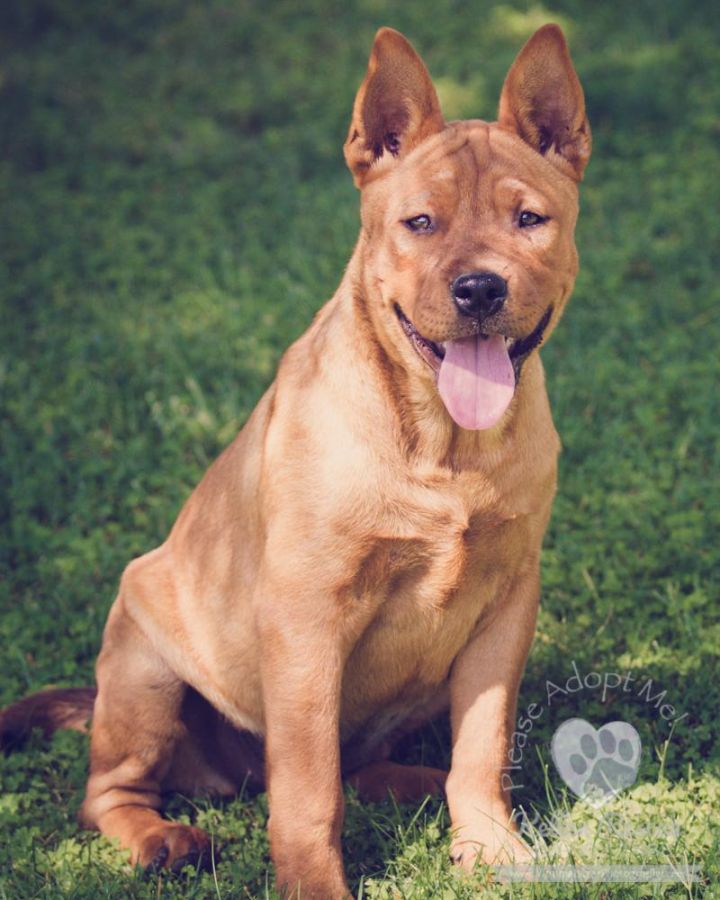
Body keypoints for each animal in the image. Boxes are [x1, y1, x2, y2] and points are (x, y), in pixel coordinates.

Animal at [0, 24, 592, 896]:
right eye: (420, 222)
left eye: (529, 219)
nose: (481, 290)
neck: (441, 448)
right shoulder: (308, 616)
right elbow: (309, 789)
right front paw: (317, 883)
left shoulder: (507, 600)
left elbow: (482, 747)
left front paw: (489, 846)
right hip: (144, 664)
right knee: (111, 791)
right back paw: (161, 839)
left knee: (376, 767)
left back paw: (425, 789)